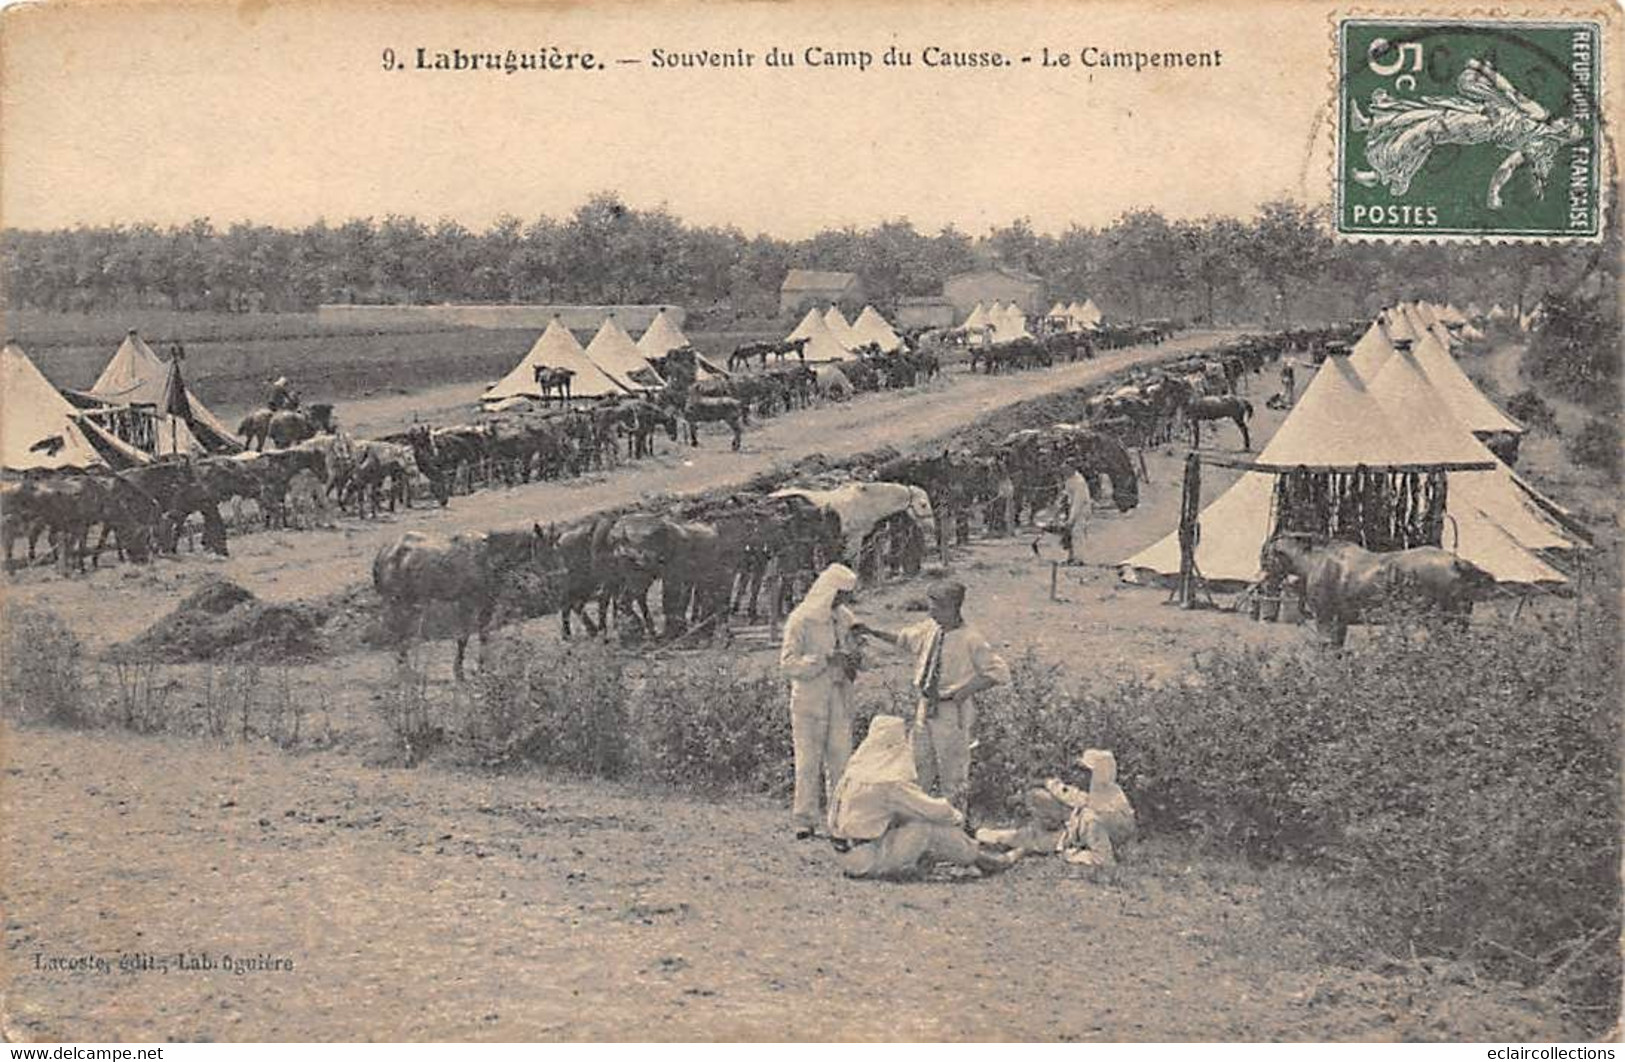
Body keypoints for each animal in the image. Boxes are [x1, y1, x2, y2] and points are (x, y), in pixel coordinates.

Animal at [373, 522, 559, 682]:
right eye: (547, 549)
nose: (557, 575)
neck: (487, 556)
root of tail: (386, 550)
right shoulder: (466, 604)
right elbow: (463, 637)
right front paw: (459, 672)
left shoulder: (487, 605)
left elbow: (484, 635)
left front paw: (482, 669)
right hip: (397, 601)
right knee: (397, 632)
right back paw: (404, 668)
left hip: (409, 602)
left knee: (401, 632)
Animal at [1254, 532, 1495, 649]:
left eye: (1265, 555)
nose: (1262, 581)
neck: (1318, 560)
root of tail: (1456, 561)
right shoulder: (1340, 621)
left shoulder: (1325, 617)